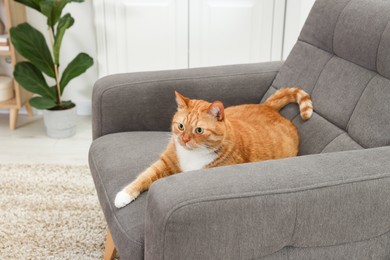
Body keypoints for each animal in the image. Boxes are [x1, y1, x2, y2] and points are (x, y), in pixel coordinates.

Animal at [114, 86, 312, 208]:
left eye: (199, 130)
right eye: (181, 126)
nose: (184, 139)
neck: (192, 155)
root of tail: (267, 106)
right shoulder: (165, 162)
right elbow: (143, 177)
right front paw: (124, 195)